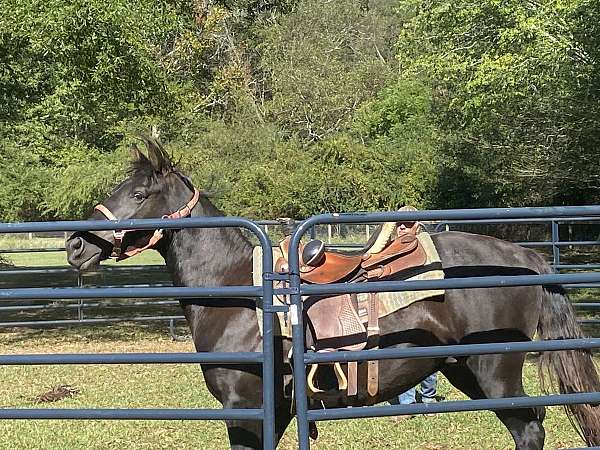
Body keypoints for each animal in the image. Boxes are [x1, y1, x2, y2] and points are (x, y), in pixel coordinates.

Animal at [64, 139, 600, 448]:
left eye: (138, 195)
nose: (74, 244)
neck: (239, 294)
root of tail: (525, 257)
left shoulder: (246, 411)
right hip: (465, 372)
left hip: (495, 374)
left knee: (529, 429)